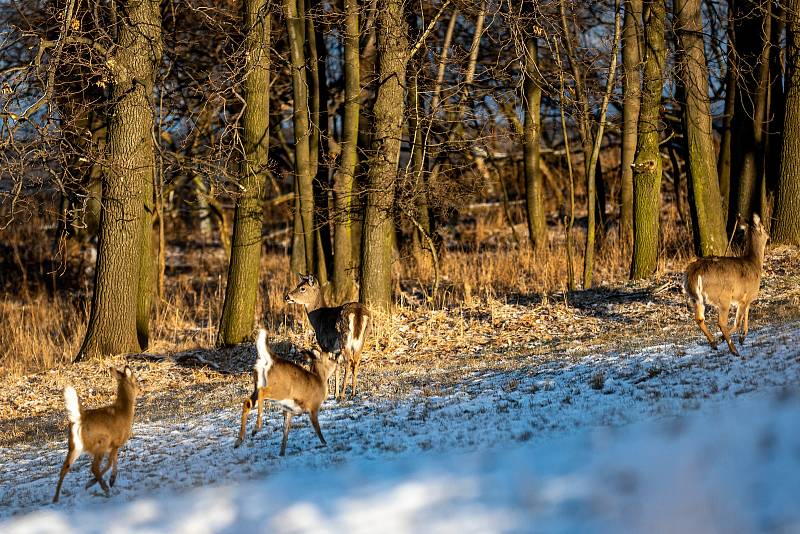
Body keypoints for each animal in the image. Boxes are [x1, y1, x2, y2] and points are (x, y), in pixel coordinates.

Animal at [52, 366, 139, 504]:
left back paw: (55, 499)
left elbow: (113, 461)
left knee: (64, 468)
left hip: (74, 447)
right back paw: (104, 489)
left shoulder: (114, 446)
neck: (124, 411)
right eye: (136, 380)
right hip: (101, 442)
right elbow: (110, 463)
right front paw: (110, 481)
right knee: (94, 467)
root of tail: (80, 419)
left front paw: (110, 481)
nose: (141, 389)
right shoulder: (115, 442)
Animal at [236, 328, 340, 458]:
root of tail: (269, 359)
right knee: (262, 393)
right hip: (280, 389)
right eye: (330, 357)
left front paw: (281, 453)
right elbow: (317, 428)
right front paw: (325, 443)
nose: (338, 359)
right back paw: (256, 428)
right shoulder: (313, 406)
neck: (319, 380)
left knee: (247, 402)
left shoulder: (289, 410)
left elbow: (286, 431)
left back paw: (239, 441)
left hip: (257, 385)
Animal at [680, 213, 768, 356]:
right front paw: (727, 338)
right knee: (721, 322)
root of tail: (694, 274)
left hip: (695, 298)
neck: (754, 263)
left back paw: (714, 343)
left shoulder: (746, 297)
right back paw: (733, 349)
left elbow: (746, 313)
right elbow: (738, 321)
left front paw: (743, 337)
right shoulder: (745, 296)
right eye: (764, 227)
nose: (768, 235)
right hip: (723, 297)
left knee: (699, 318)